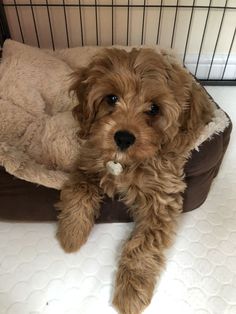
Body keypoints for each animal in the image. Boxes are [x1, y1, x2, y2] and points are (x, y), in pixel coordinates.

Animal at [56, 47, 213, 312]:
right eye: (111, 98)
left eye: (154, 108)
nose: (123, 138)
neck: (124, 163)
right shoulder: (87, 163)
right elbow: (79, 189)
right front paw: (72, 234)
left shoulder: (162, 197)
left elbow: (143, 244)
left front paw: (131, 292)